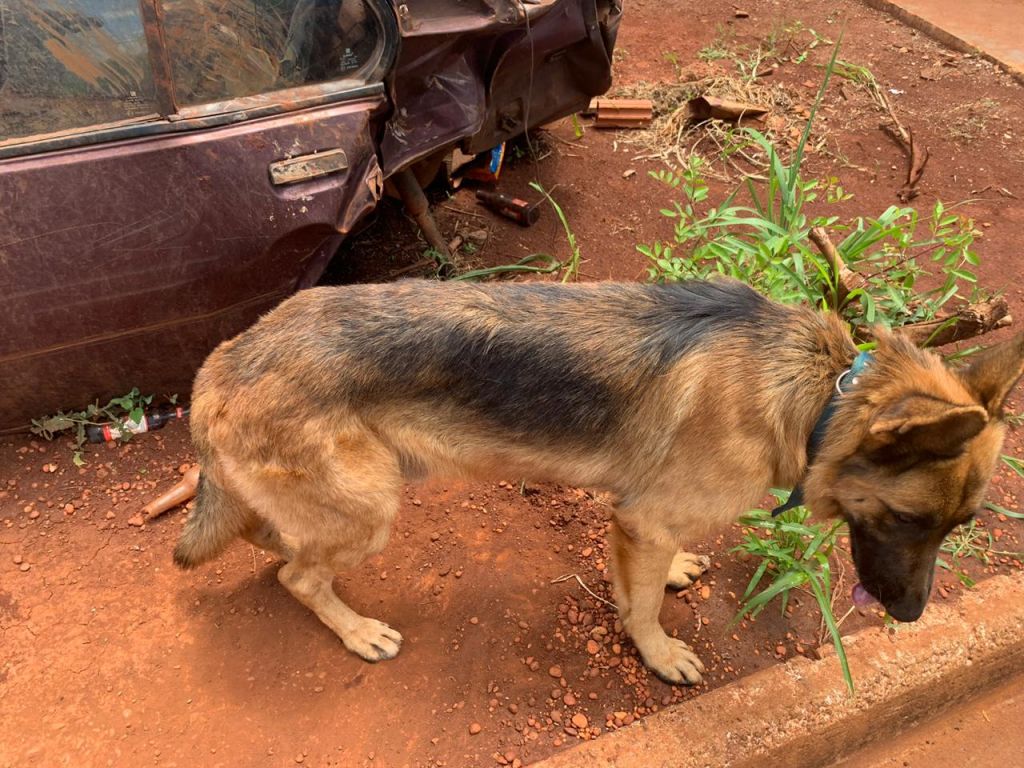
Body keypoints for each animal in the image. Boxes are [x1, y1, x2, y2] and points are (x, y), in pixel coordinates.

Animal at [176, 280, 1024, 684]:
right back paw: (355, 629)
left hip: (341, 498)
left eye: (958, 529)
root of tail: (220, 361)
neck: (819, 396)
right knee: (295, 575)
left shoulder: (637, 518)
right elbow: (642, 605)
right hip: (371, 506)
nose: (911, 617)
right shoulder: (643, 518)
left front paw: (669, 577)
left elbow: (642, 577)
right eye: (910, 522)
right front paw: (658, 652)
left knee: (273, 538)